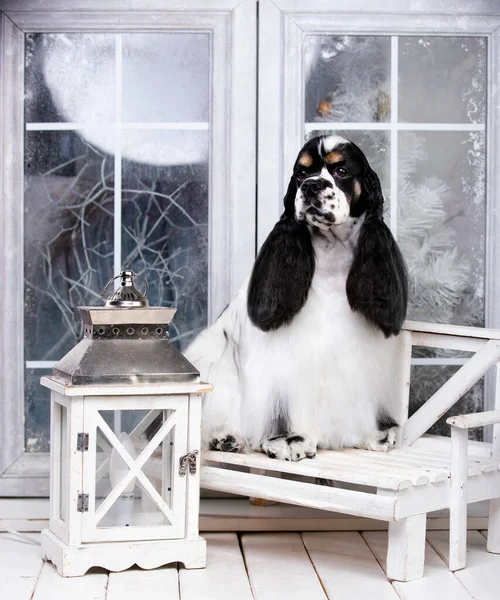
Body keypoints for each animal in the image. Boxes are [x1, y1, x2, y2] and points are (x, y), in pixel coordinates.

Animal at [186, 136, 408, 462]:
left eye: (341, 170)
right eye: (301, 173)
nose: (312, 186)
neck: (332, 255)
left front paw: (376, 435)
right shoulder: (283, 361)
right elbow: (283, 406)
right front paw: (289, 440)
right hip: (214, 354)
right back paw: (226, 438)